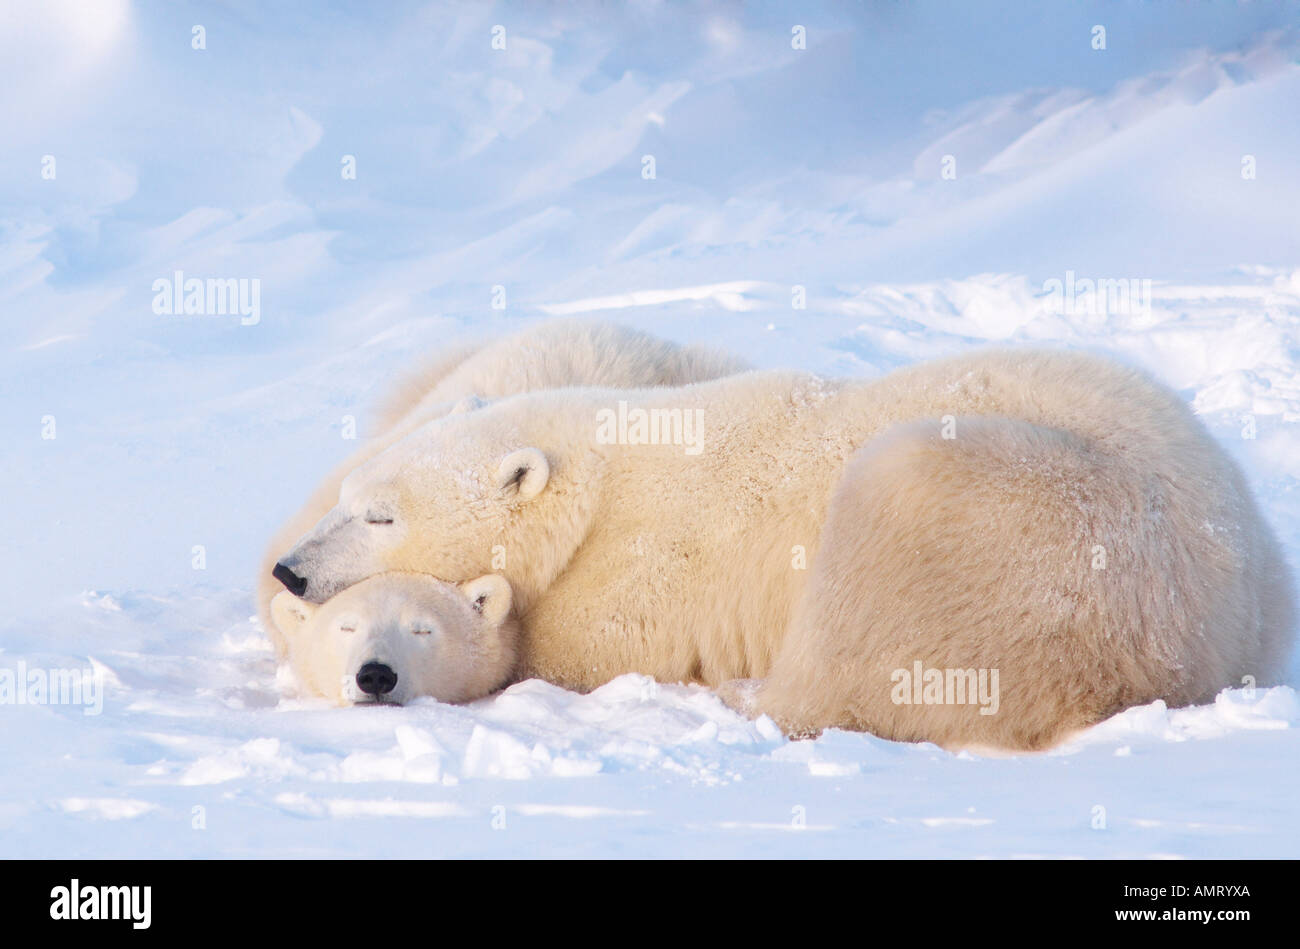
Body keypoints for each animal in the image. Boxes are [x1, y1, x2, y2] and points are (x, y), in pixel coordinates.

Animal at [271, 348, 1289, 748]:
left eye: (381, 516)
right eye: (350, 497)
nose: (290, 568)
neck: (601, 475)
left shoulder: (641, 575)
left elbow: (575, 648)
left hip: (1044, 533)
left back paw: (753, 693)